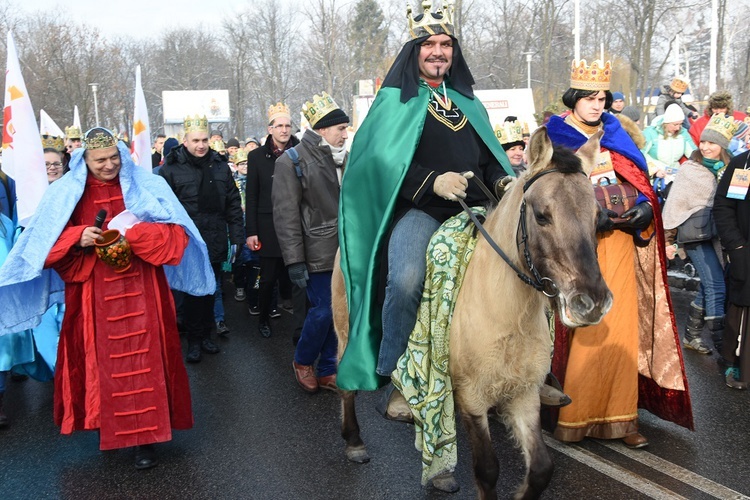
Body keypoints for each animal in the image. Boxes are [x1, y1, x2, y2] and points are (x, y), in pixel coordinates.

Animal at [332, 126, 612, 500]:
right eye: (541, 215)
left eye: (598, 217)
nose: (591, 302)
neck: (506, 315)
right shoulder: (473, 397)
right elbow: (487, 470)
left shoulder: (523, 394)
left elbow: (541, 468)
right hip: (345, 331)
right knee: (345, 383)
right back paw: (355, 441)